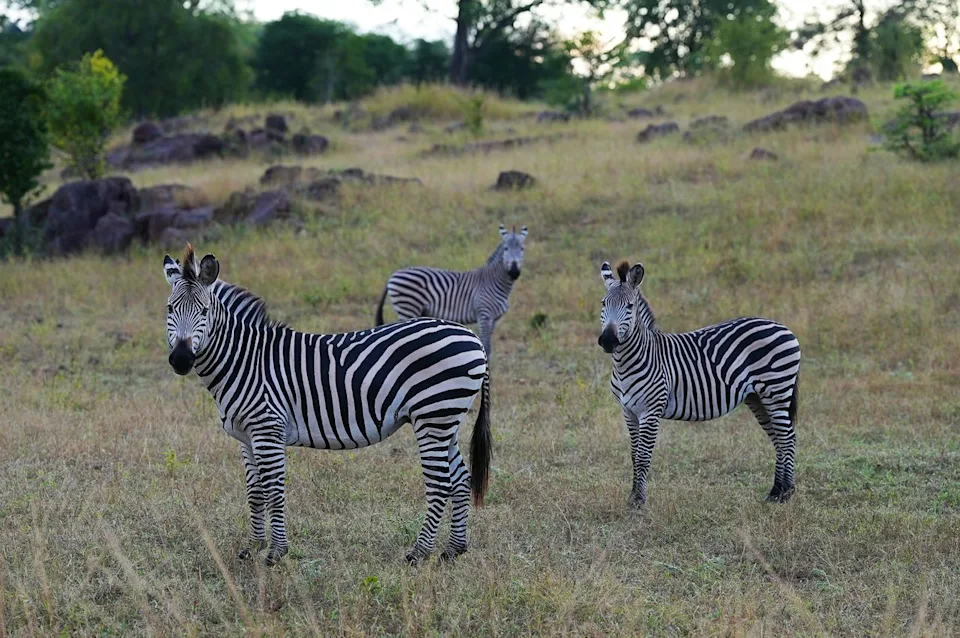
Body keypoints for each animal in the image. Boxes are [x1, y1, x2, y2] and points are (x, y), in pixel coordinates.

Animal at [163, 244, 491, 566]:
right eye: (169, 309)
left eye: (204, 311)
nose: (180, 359)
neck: (245, 360)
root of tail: (472, 337)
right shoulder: (246, 436)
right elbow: (255, 492)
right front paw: (253, 547)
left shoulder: (268, 430)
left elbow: (274, 491)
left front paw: (275, 552)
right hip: (445, 419)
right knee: (461, 479)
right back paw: (453, 550)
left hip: (433, 417)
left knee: (440, 485)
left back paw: (419, 552)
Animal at [375, 223, 527, 358]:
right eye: (506, 249)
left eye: (522, 249)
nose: (514, 272)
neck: (494, 281)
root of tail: (393, 275)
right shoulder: (484, 314)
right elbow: (486, 348)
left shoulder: (494, 319)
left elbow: (488, 348)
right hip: (407, 307)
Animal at [598, 260, 801, 508]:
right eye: (603, 303)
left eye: (629, 306)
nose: (608, 341)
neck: (630, 361)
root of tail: (782, 326)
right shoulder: (628, 411)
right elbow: (634, 456)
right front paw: (632, 498)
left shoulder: (650, 411)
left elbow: (643, 457)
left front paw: (639, 501)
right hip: (757, 398)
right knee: (778, 439)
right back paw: (775, 491)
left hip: (777, 391)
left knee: (787, 437)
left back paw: (786, 492)